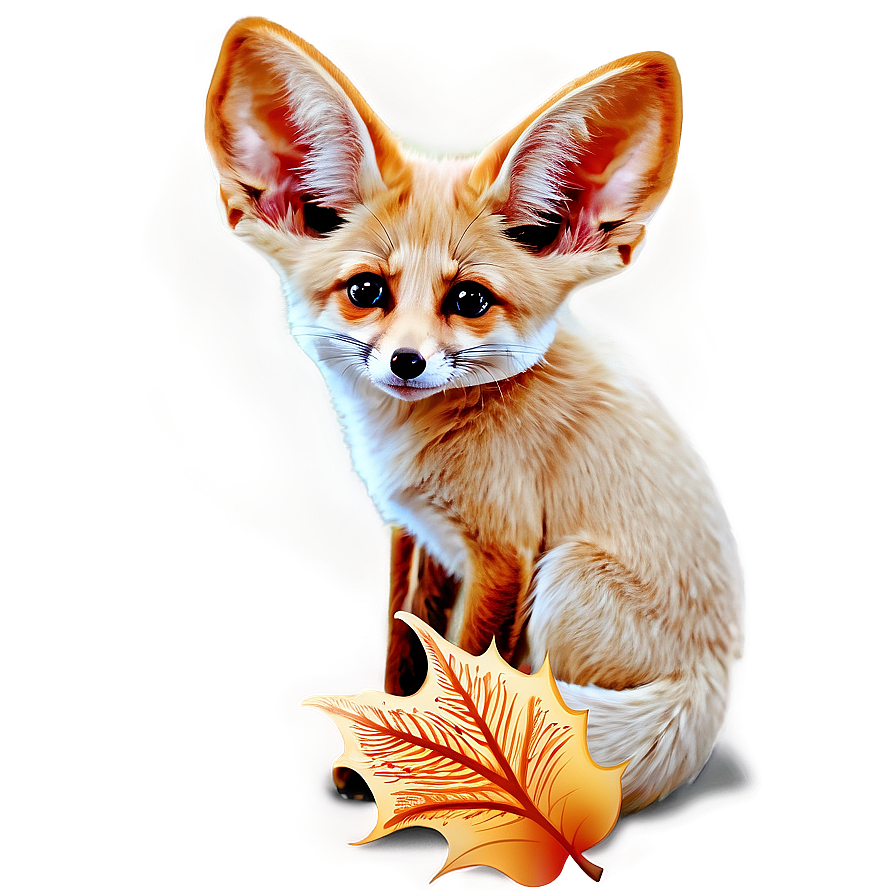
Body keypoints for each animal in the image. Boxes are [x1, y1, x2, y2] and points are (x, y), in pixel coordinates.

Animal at [205, 17, 744, 814]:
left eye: (468, 300)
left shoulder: (508, 550)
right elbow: (406, 654)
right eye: (367, 290)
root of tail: (715, 682)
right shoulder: (415, 533)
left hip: (566, 578)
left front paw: (442, 770)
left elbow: (470, 667)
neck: (422, 442)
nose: (406, 363)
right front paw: (378, 760)